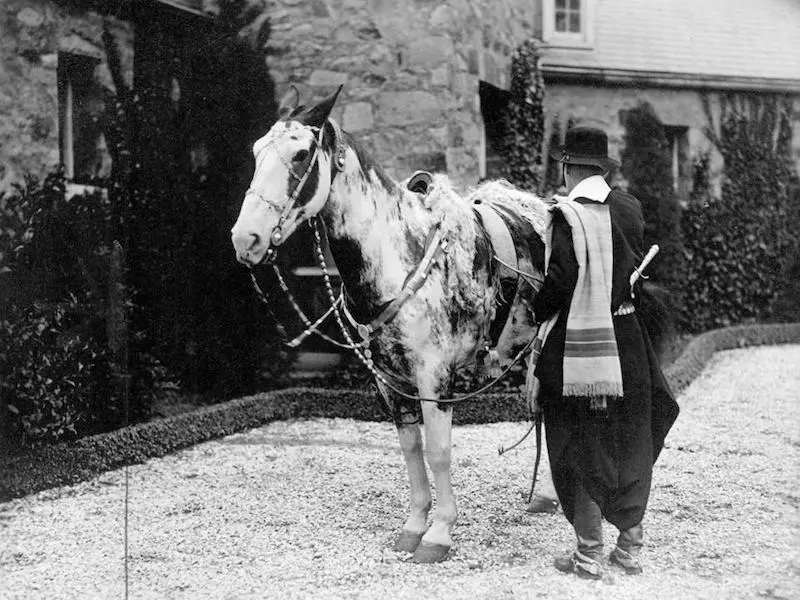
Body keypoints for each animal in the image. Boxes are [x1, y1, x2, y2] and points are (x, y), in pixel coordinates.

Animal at [231, 86, 552, 564]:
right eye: (256, 152)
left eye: (301, 153)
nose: (245, 238)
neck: (400, 260)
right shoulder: (390, 382)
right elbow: (412, 451)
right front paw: (414, 527)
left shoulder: (434, 378)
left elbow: (439, 452)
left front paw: (439, 534)